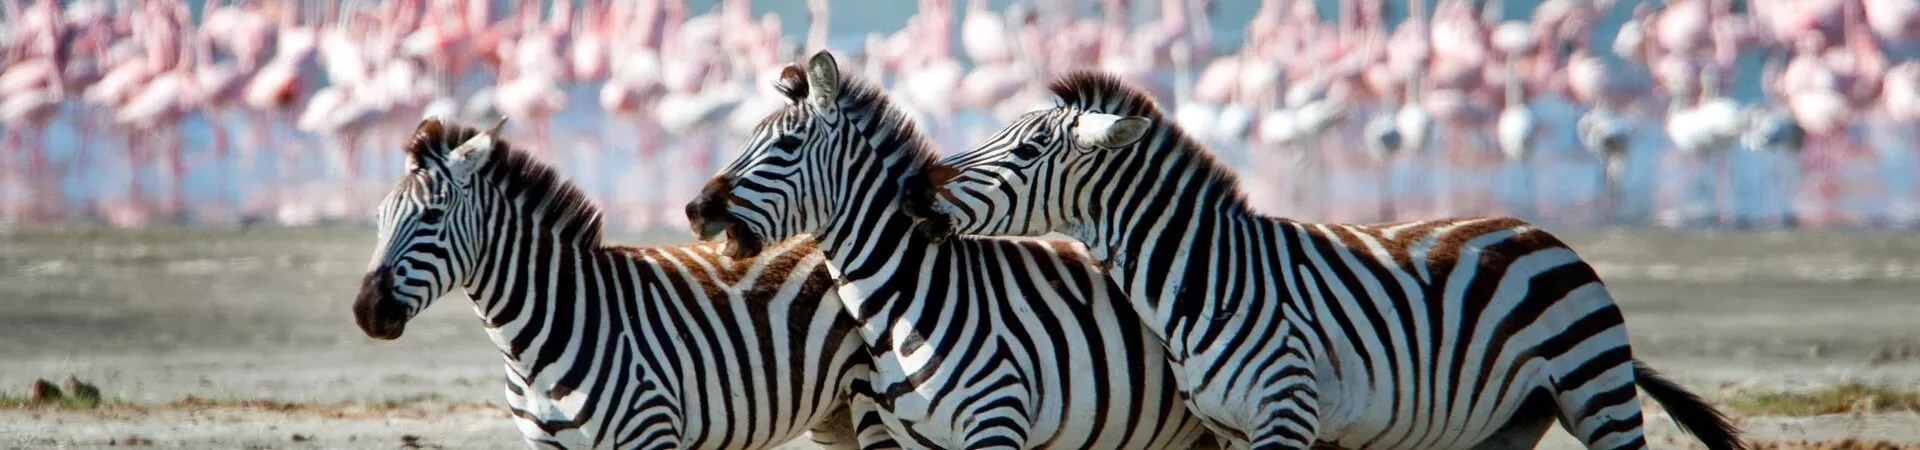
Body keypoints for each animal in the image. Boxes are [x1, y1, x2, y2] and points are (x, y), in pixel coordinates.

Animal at [353, 117, 899, 449]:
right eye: (377, 219)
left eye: (433, 215)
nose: (366, 310)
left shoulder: (649, 431)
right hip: (835, 414)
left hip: (873, 406)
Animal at [903, 72, 1749, 450]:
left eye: (1028, 150)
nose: (915, 189)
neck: (1204, 279)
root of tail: (1542, 234)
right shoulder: (1231, 429)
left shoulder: (1285, 412)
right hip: (1505, 424)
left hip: (1595, 392)